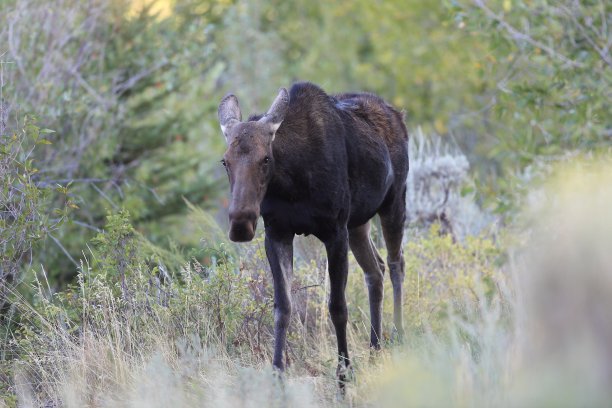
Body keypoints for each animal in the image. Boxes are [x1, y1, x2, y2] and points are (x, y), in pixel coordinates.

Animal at [218, 81, 408, 384]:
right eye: (225, 161)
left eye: (266, 158)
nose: (241, 224)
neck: (292, 183)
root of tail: (398, 115)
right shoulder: (277, 233)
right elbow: (283, 307)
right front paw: (277, 374)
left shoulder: (335, 232)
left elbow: (338, 307)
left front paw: (343, 376)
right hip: (358, 223)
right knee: (375, 269)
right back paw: (375, 349)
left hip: (394, 202)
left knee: (395, 263)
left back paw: (398, 338)